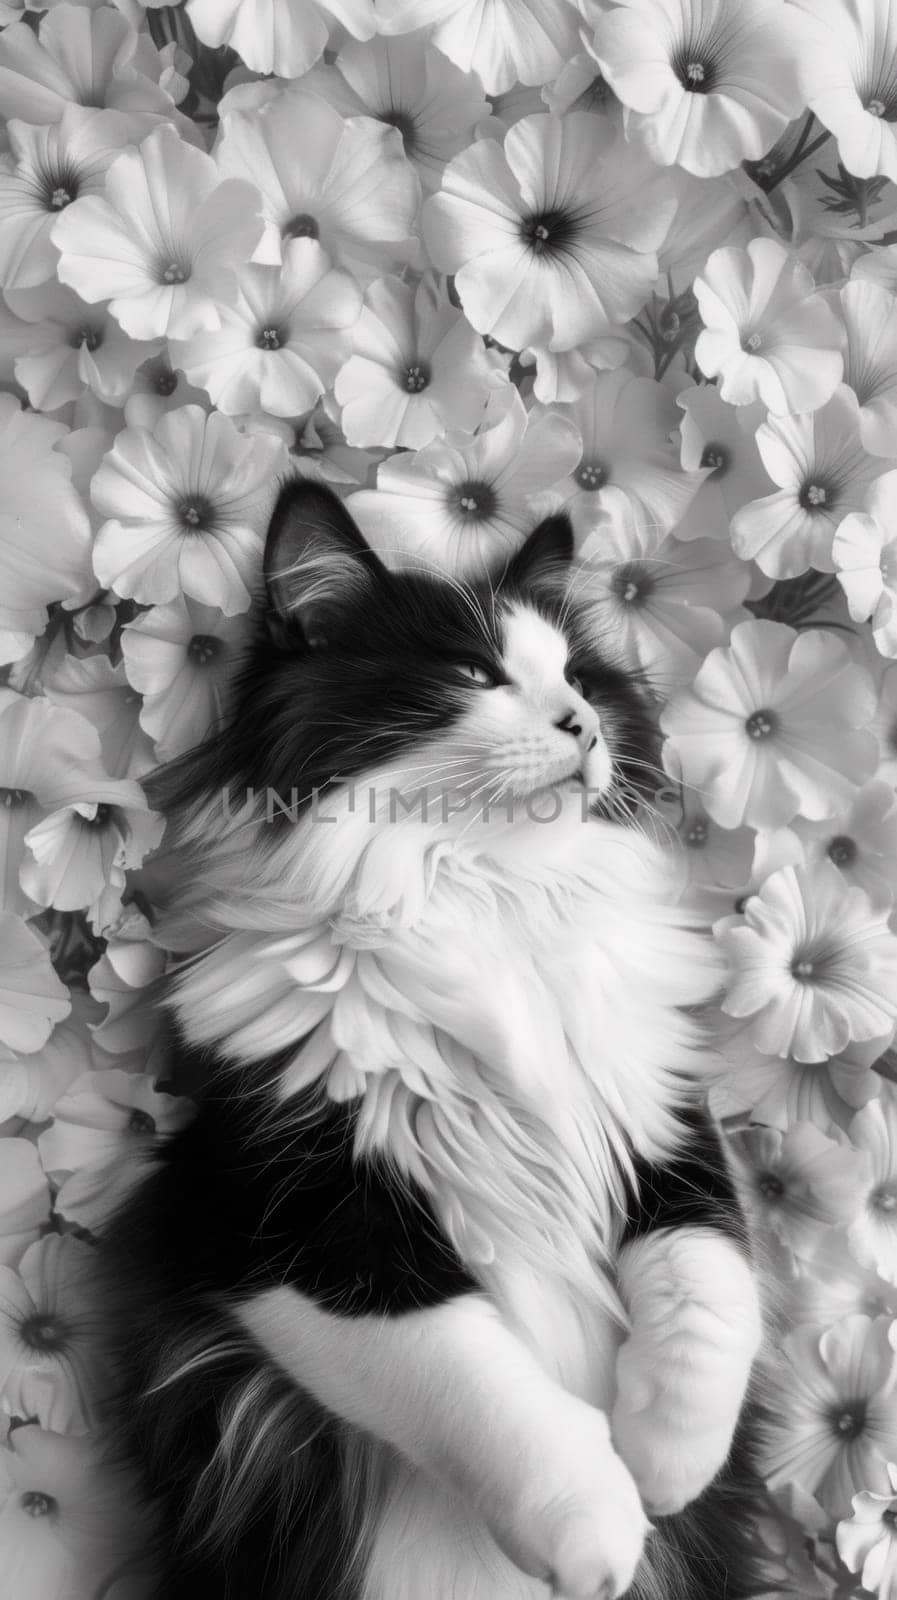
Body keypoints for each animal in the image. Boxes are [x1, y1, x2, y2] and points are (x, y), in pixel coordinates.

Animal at [96, 480, 761, 1593]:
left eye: (579, 677)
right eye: (474, 674)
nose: (584, 725)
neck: (485, 893)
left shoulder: (664, 1124)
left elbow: (710, 1284)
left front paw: (667, 1466)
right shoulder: (272, 1221)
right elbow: (475, 1381)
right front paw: (600, 1531)